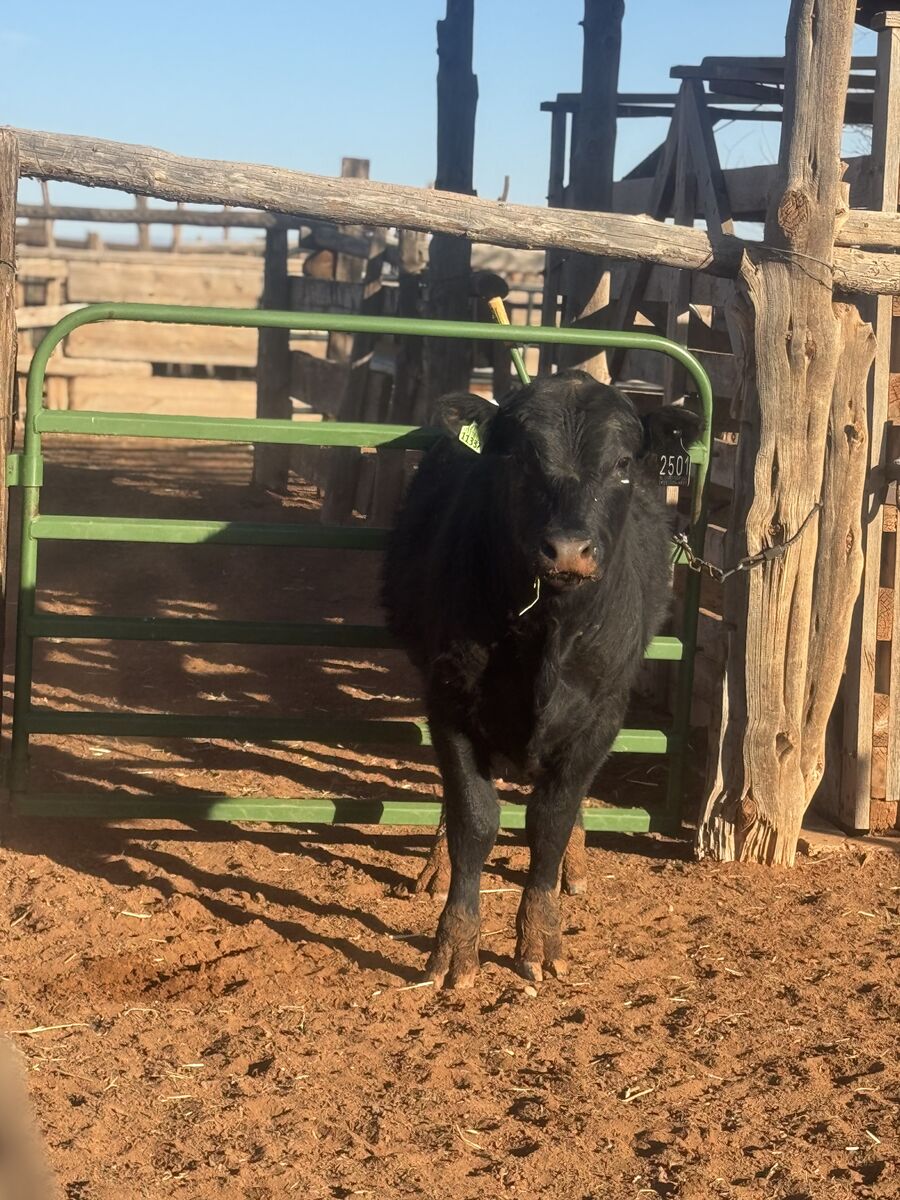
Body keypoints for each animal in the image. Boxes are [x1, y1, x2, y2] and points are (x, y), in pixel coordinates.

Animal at [382, 368, 702, 988]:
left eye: (622, 462)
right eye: (519, 460)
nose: (569, 549)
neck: (547, 636)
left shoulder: (603, 714)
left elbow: (550, 819)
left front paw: (540, 934)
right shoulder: (450, 701)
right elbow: (474, 818)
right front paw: (455, 944)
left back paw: (573, 863)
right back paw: (436, 864)